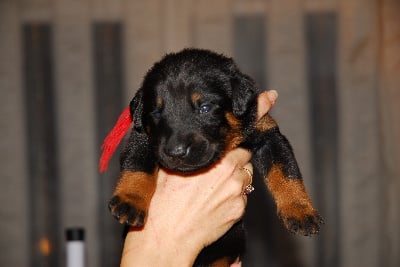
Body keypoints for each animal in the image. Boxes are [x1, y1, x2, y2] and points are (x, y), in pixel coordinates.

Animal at [108, 49, 324, 266]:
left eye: (204, 107)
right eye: (154, 111)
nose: (176, 152)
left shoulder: (267, 134)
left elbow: (286, 172)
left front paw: (300, 210)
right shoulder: (142, 138)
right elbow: (137, 167)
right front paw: (130, 201)